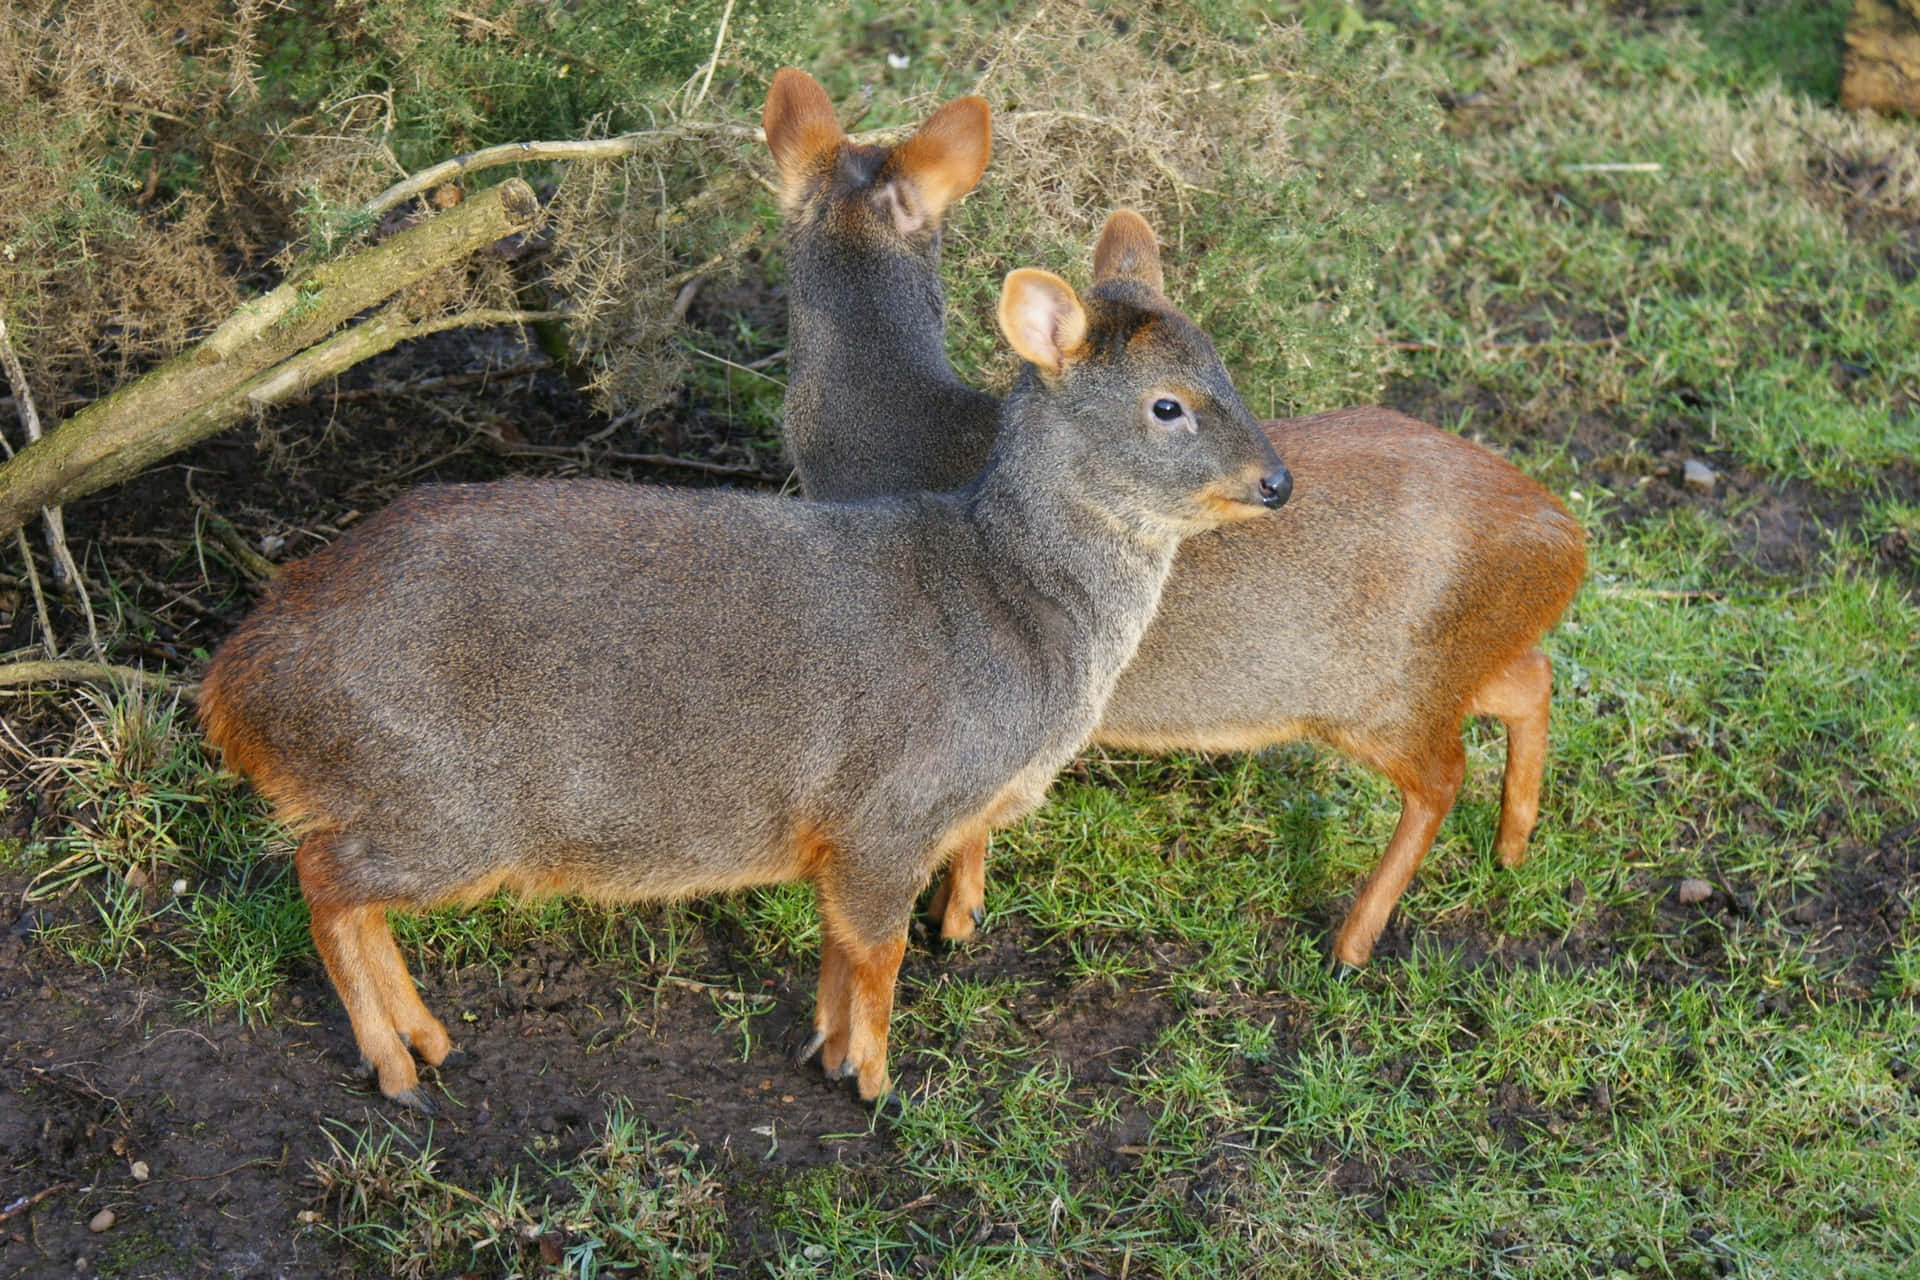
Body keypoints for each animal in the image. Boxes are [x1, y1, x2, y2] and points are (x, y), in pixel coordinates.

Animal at [194, 210, 1290, 1113]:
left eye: (1227, 372)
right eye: (1167, 406)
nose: (1277, 480)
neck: (1017, 608)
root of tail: (236, 679)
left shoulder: (852, 831)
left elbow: (839, 958)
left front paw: (827, 1053)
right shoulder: (894, 807)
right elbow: (881, 954)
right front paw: (877, 1083)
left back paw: (427, 1039)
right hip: (442, 802)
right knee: (322, 876)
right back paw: (395, 1062)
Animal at [764, 70, 1589, 967]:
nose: (1274, 482)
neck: (896, 430)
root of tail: (1567, 537)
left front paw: (957, 920)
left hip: (1384, 692)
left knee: (1443, 776)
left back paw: (1352, 940)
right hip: (1437, 669)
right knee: (1530, 678)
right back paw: (1512, 847)